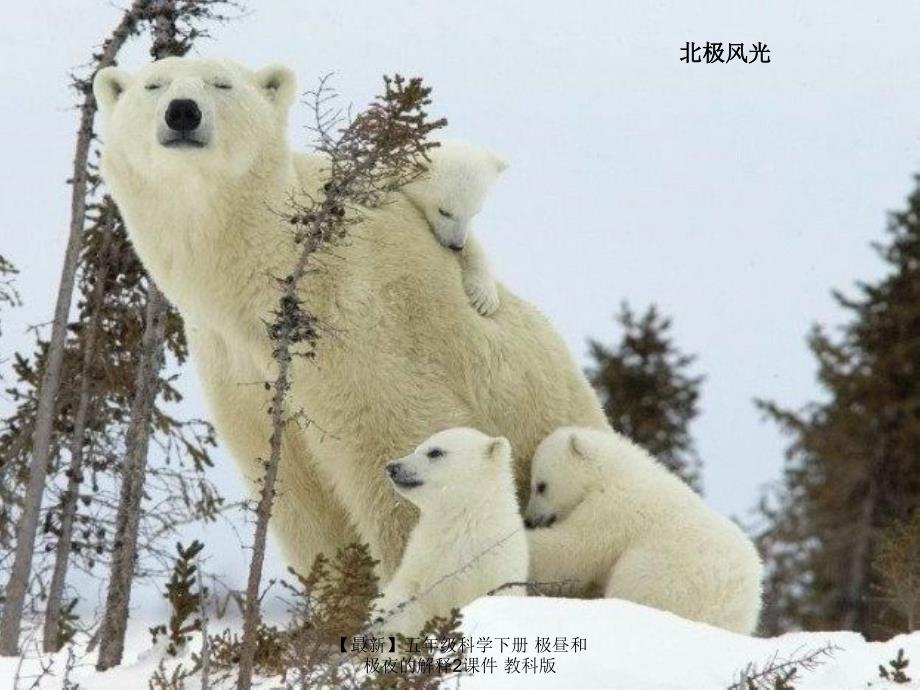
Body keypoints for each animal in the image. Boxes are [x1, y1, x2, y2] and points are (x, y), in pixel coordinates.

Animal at [378, 424, 528, 636]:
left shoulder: (496, 565)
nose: (392, 467)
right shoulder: (422, 561)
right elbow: (405, 598)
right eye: (416, 448)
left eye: (435, 452)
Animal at [524, 428, 760, 632]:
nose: (529, 519)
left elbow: (574, 550)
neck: (612, 471)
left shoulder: (613, 509)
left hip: (666, 577)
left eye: (541, 486)